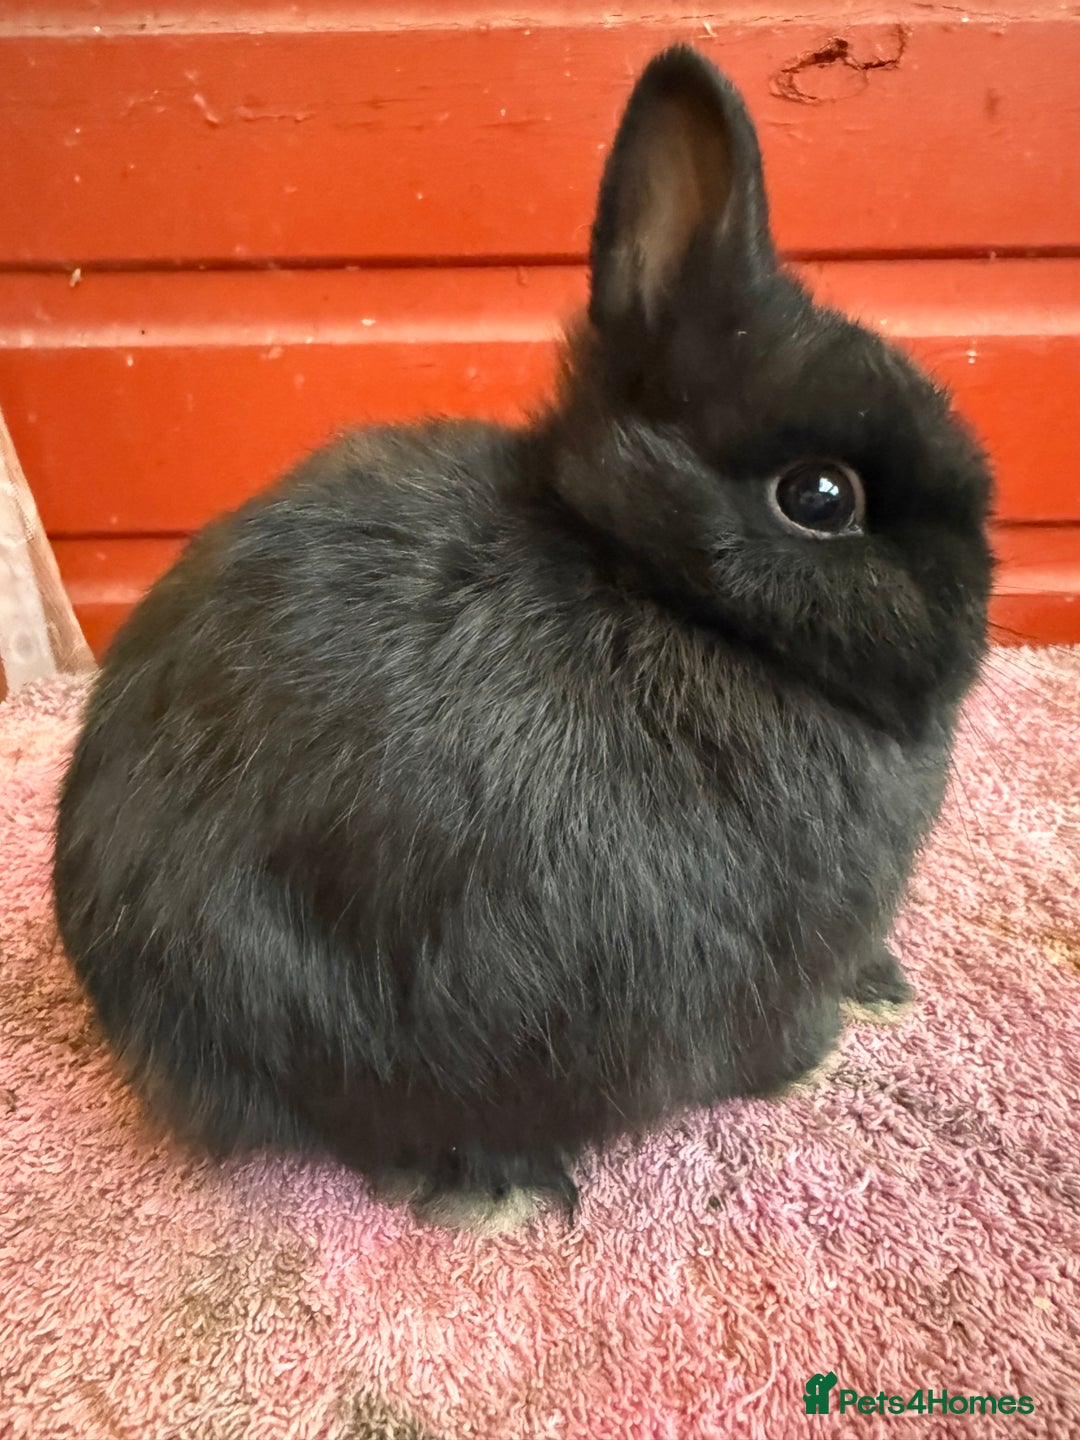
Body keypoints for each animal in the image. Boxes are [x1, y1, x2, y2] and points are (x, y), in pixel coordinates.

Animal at [53, 46, 993, 1231]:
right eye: (820, 497)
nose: (976, 614)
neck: (655, 587)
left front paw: (881, 987)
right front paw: (816, 1054)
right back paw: (497, 1185)